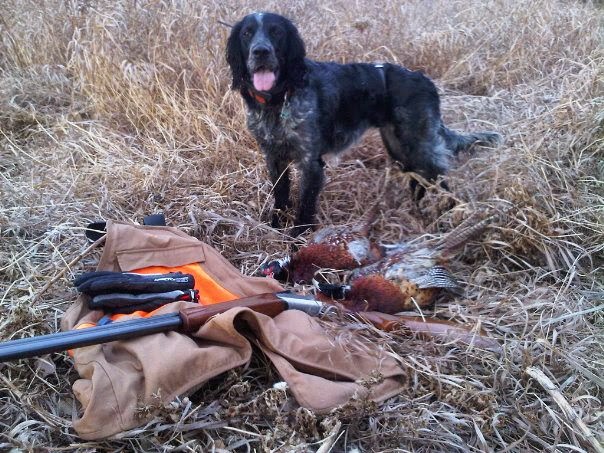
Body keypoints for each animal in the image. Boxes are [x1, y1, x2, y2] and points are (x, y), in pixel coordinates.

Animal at [226, 12, 500, 235]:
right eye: (247, 33)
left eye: (277, 32)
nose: (261, 51)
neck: (278, 100)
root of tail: (426, 82)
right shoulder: (273, 157)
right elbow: (280, 196)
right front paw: (274, 227)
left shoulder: (310, 163)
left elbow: (304, 208)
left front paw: (296, 240)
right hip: (399, 147)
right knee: (420, 178)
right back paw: (419, 210)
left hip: (419, 144)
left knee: (440, 179)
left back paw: (446, 215)